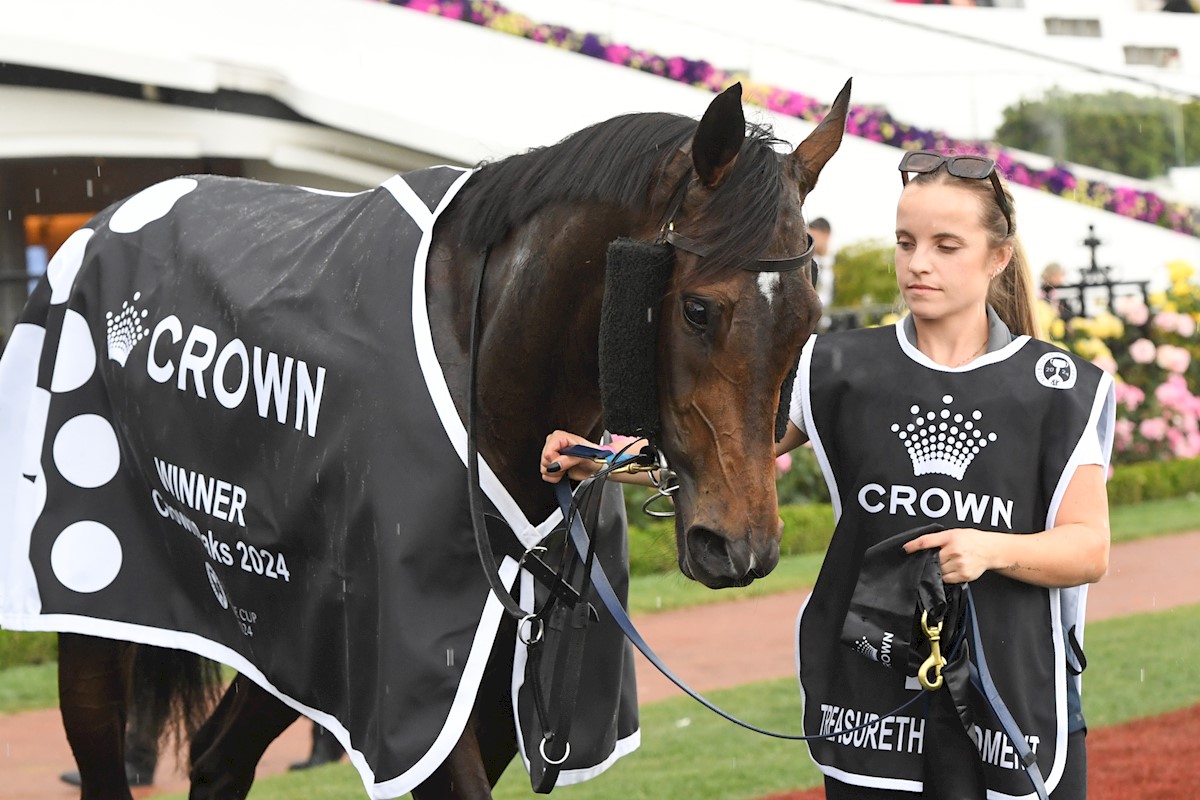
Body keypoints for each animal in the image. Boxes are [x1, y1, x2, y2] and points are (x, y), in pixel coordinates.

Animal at [11, 77, 854, 796]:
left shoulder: (494, 680)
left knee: (220, 760)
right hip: (99, 589)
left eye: (808, 320)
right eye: (698, 309)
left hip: (294, 627)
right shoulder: (413, 671)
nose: (741, 546)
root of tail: (103, 219)